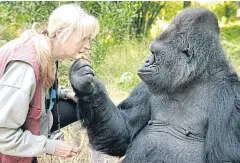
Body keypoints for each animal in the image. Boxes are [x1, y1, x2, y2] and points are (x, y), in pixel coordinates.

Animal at [69, 7, 240, 163]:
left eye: (155, 53)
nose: (146, 61)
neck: (193, 79)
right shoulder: (145, 87)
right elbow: (123, 132)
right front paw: (85, 87)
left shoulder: (231, 99)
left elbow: (224, 156)